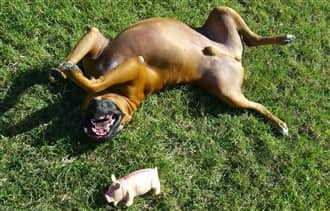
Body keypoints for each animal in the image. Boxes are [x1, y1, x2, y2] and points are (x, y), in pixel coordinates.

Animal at [50, 6, 296, 141]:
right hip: (224, 43)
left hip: (229, 91)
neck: (125, 97)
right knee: (252, 42)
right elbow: (79, 59)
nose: (96, 135)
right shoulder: (95, 43)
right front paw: (61, 72)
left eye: (118, 124)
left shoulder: (134, 65)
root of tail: (231, 55)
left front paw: (68, 72)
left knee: (257, 100)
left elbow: (95, 83)